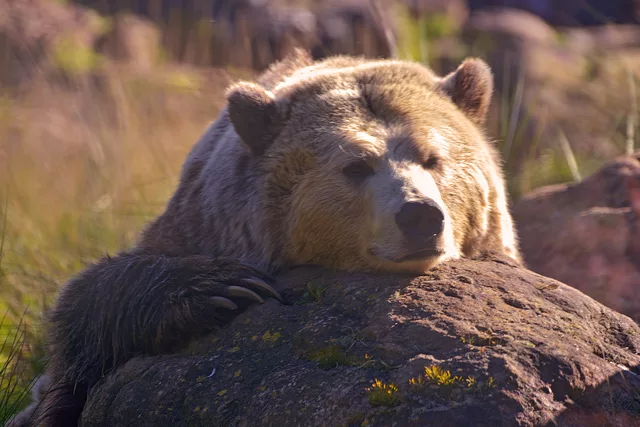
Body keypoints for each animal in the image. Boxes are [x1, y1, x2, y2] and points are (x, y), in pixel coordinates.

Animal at [11, 49, 521, 427]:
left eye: (433, 158)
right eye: (356, 166)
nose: (420, 215)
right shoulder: (197, 226)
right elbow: (84, 308)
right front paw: (225, 288)